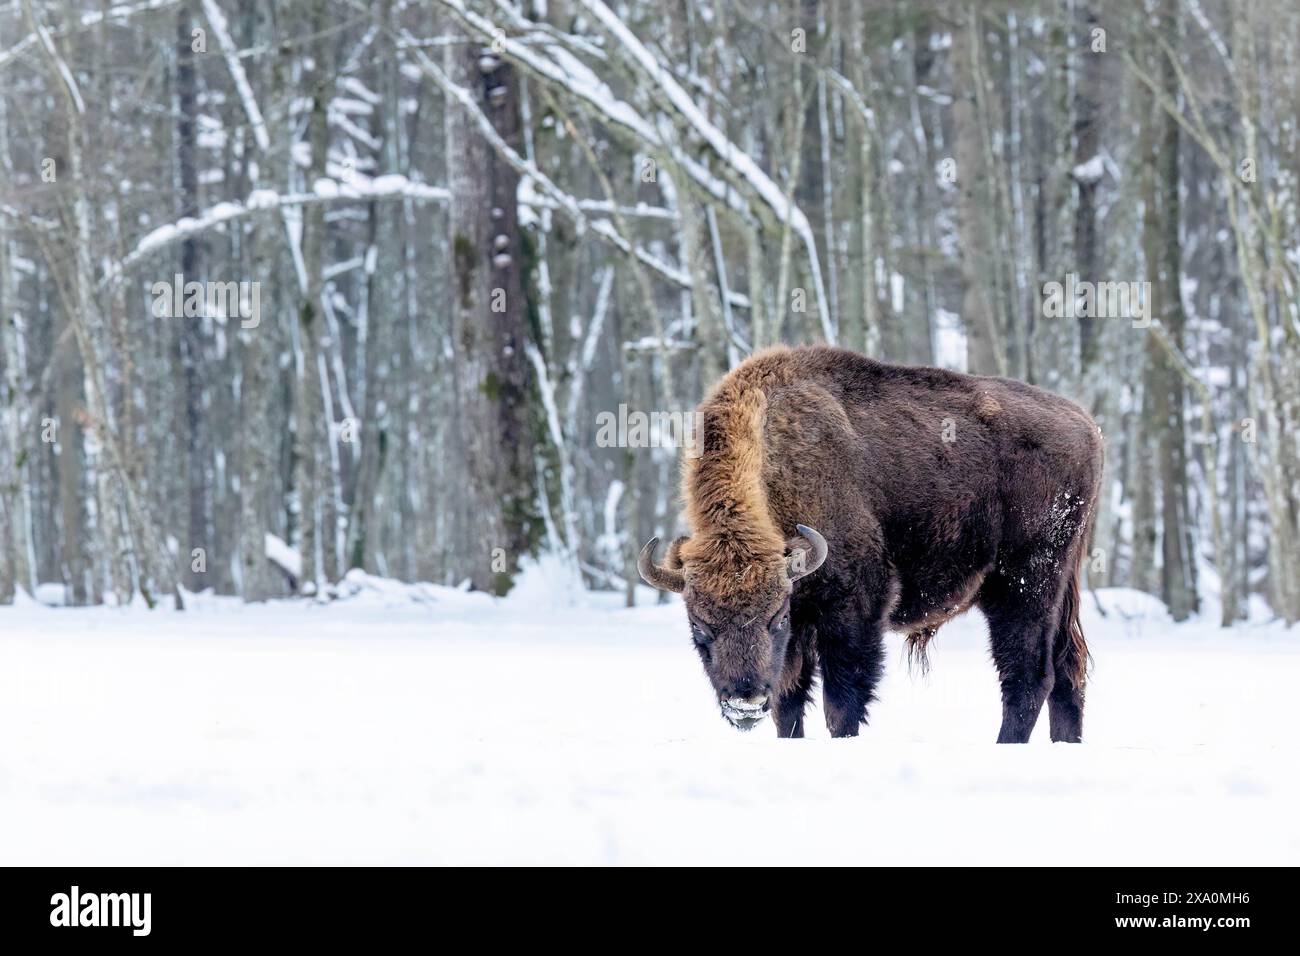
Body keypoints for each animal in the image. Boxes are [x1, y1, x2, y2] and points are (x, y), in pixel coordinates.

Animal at [634, 348, 1102, 743]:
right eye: (699, 625)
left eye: (775, 618)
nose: (744, 703)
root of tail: (1085, 423)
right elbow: (789, 704)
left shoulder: (853, 608)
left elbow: (841, 701)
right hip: (1058, 586)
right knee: (1067, 672)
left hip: (1025, 584)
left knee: (1028, 675)